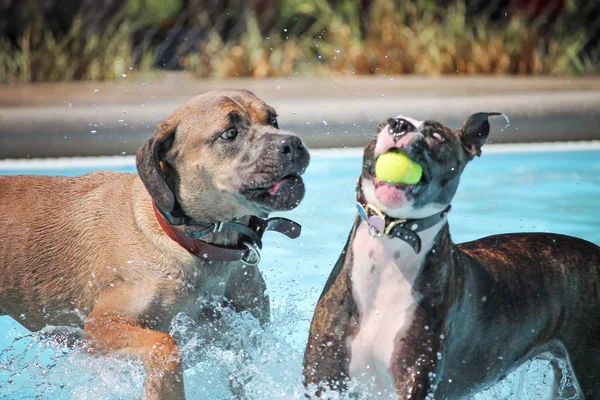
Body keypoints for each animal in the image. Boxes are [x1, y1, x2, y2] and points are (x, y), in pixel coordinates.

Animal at [0, 89, 310, 398]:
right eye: (229, 133)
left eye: (273, 120)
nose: (292, 144)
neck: (195, 245)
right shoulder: (101, 327)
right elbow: (165, 344)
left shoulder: (243, 338)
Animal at [304, 114, 600, 398]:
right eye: (384, 124)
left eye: (436, 135)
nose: (399, 125)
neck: (391, 242)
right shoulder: (323, 377)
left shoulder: (415, 377)